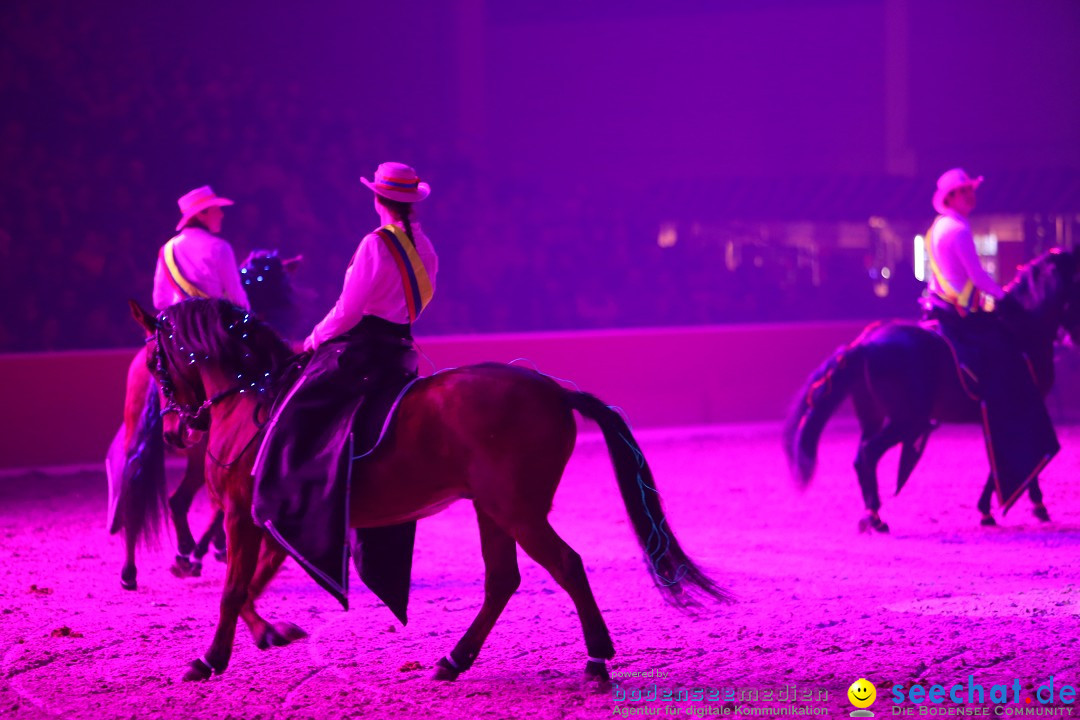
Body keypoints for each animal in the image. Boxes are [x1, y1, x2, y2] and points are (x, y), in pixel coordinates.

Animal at [128, 297, 734, 686]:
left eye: (156, 359)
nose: (176, 431)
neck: (251, 399)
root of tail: (553, 390)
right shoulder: (271, 519)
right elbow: (251, 585)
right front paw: (268, 633)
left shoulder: (242, 514)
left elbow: (234, 589)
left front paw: (209, 660)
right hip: (493, 508)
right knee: (503, 580)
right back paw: (454, 660)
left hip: (516, 509)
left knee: (566, 564)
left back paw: (596, 661)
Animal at [786, 250, 1080, 533]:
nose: (1072, 339)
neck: (1022, 330)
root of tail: (863, 344)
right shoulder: (1017, 412)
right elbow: (1019, 461)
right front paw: (1035, 507)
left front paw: (988, 510)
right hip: (904, 421)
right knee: (868, 455)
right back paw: (875, 518)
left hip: (874, 418)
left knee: (861, 457)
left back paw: (870, 515)